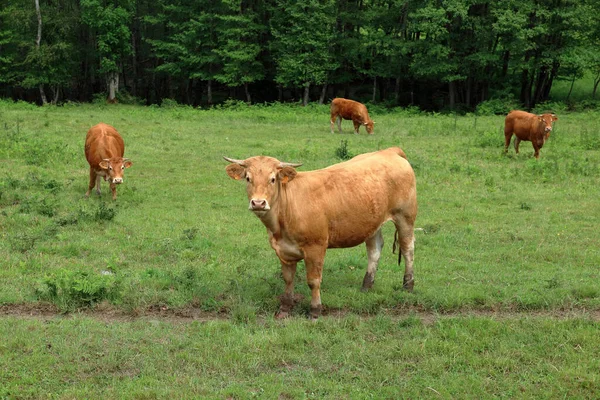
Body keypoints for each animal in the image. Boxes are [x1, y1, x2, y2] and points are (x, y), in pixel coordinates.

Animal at [225, 147, 418, 318]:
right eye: (248, 178)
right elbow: (288, 279)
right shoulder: (283, 250)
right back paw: (366, 286)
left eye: (272, 179)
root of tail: (390, 151)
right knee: (375, 250)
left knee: (408, 249)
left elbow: (313, 281)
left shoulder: (315, 247)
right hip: (372, 223)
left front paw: (315, 310)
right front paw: (285, 308)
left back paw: (408, 285)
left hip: (405, 216)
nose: (258, 203)